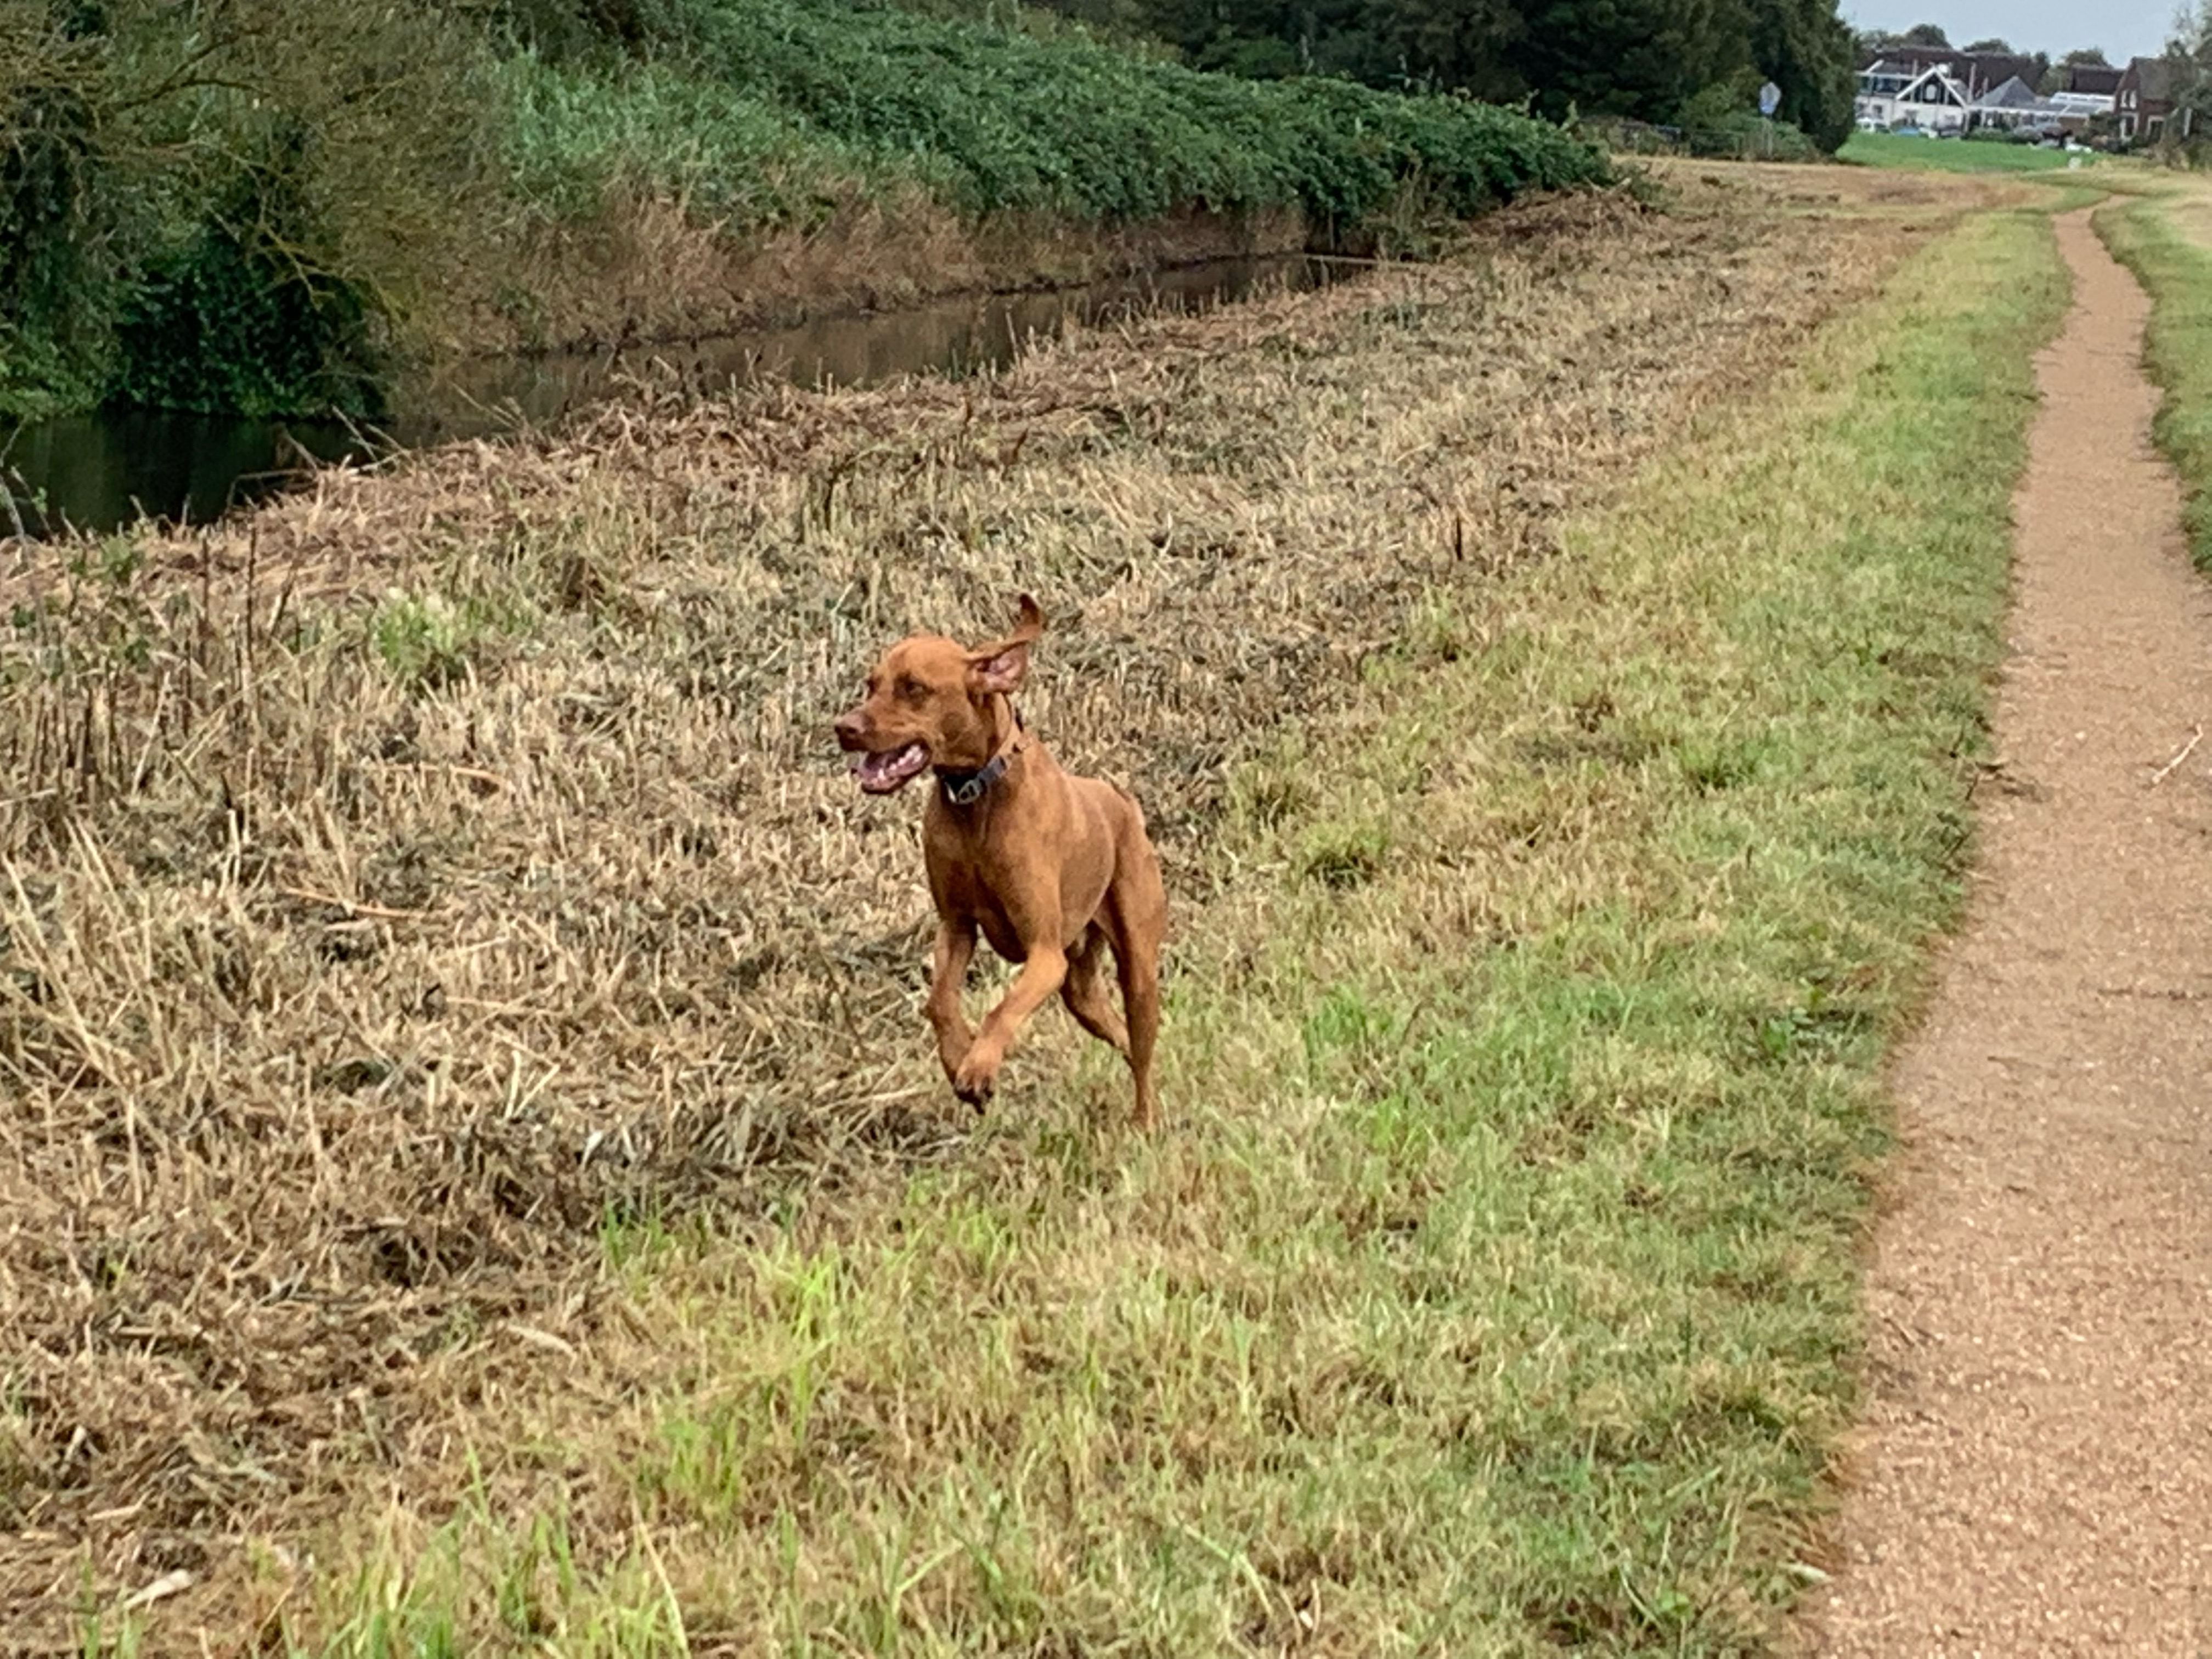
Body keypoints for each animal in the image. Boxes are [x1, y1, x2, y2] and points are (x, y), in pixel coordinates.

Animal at [834, 595, 1166, 1128]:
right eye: (871, 685)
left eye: (914, 688)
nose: (844, 728)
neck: (976, 798)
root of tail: (1121, 801)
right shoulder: (956, 925)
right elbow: (939, 1002)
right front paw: (958, 1059)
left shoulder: (1044, 954)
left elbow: (1002, 1009)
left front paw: (979, 1068)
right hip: (1080, 991)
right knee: (1119, 1033)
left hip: (1137, 962)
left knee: (1142, 1045)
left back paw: (1146, 1120)